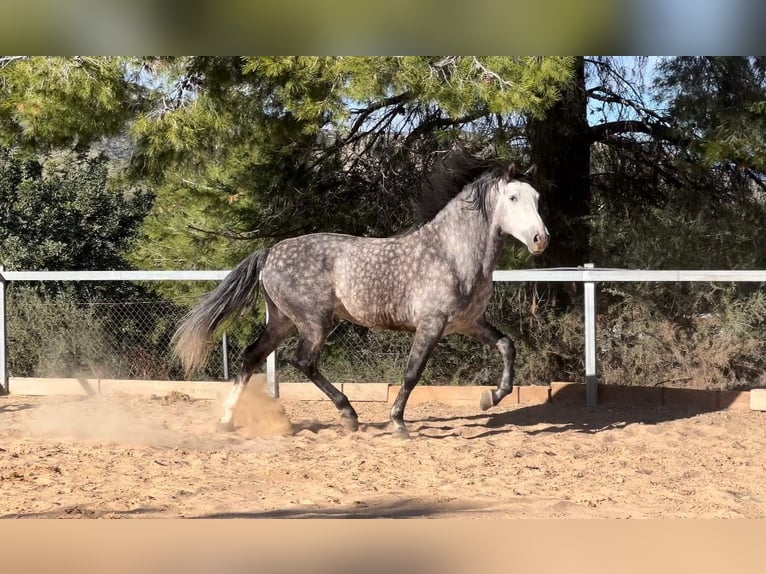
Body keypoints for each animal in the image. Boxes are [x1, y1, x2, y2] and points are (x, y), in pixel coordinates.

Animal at [172, 156, 548, 436]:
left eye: (537, 199)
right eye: (513, 198)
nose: (540, 239)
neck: (452, 253)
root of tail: (269, 253)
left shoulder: (469, 323)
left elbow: (507, 346)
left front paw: (490, 398)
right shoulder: (431, 325)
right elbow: (412, 373)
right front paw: (398, 422)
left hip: (283, 321)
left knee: (252, 357)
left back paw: (226, 421)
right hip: (314, 322)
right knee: (304, 361)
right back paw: (349, 415)